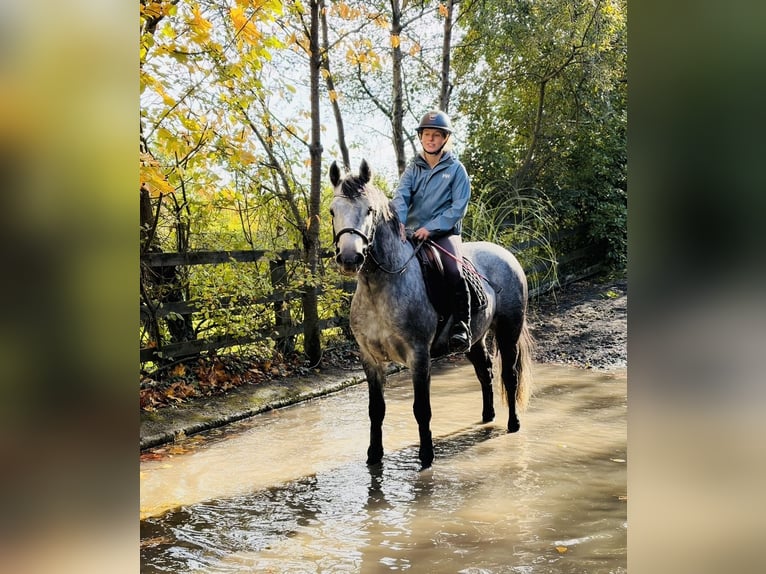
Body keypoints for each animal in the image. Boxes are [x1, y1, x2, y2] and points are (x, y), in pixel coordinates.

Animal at [329, 159, 533, 469]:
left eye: (369, 210)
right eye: (332, 211)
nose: (350, 258)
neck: (381, 285)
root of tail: (505, 254)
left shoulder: (418, 355)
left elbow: (421, 408)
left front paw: (426, 456)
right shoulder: (370, 359)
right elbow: (376, 410)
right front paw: (374, 456)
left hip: (508, 332)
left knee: (508, 375)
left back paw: (513, 424)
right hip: (474, 338)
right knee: (484, 371)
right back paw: (487, 416)